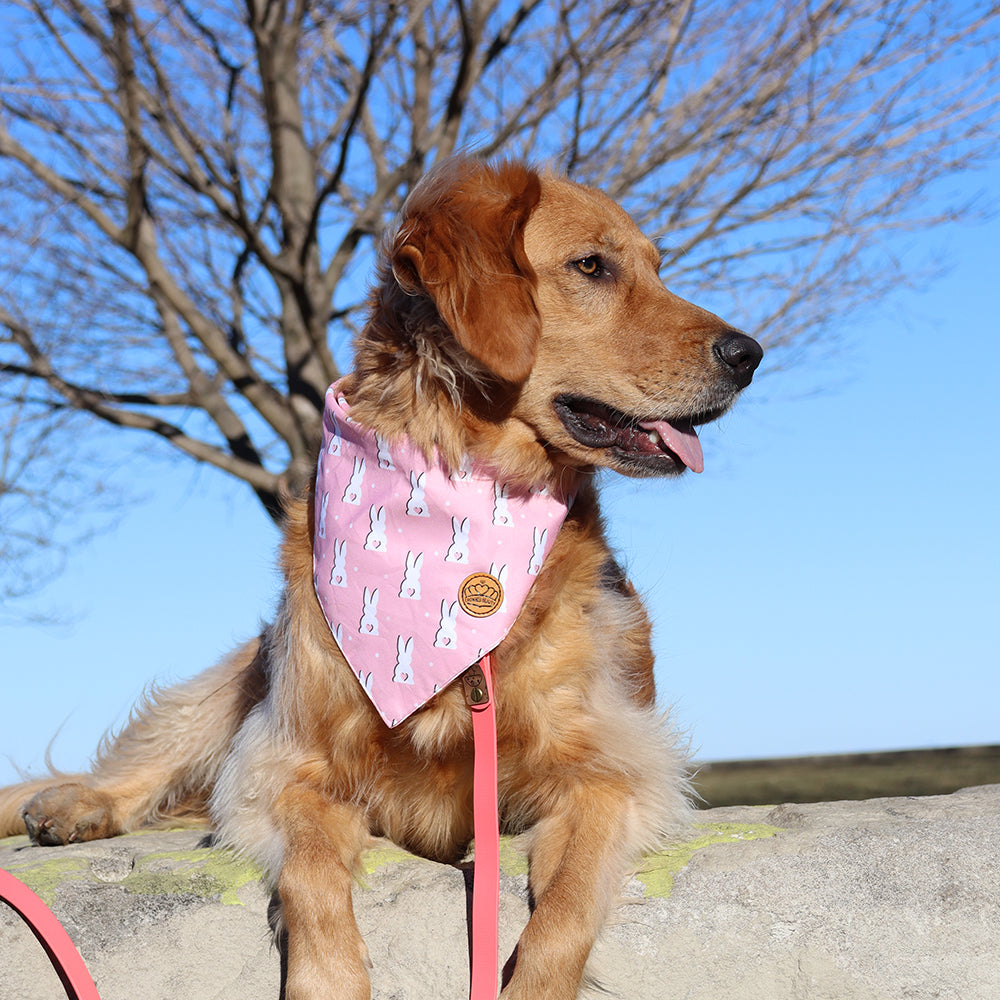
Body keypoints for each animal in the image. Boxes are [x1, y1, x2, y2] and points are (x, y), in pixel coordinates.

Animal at [0, 158, 760, 1000]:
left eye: (659, 266)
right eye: (592, 266)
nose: (749, 354)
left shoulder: (611, 769)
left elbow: (563, 914)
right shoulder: (283, 764)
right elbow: (311, 875)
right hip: (246, 674)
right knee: (156, 759)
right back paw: (76, 804)